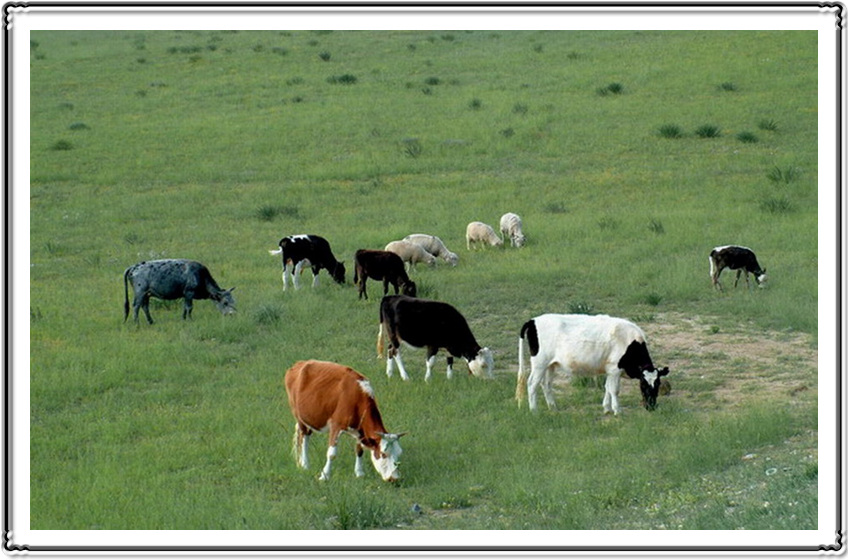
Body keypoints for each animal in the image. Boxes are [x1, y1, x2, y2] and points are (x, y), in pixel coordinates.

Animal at [516, 312, 668, 414]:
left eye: (658, 383)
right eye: (643, 384)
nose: (651, 406)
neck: (630, 342)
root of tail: (533, 320)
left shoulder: (609, 370)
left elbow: (607, 387)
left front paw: (606, 408)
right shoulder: (614, 369)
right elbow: (614, 390)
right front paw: (617, 410)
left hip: (550, 365)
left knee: (546, 384)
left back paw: (553, 408)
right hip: (539, 363)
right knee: (532, 384)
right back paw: (534, 410)